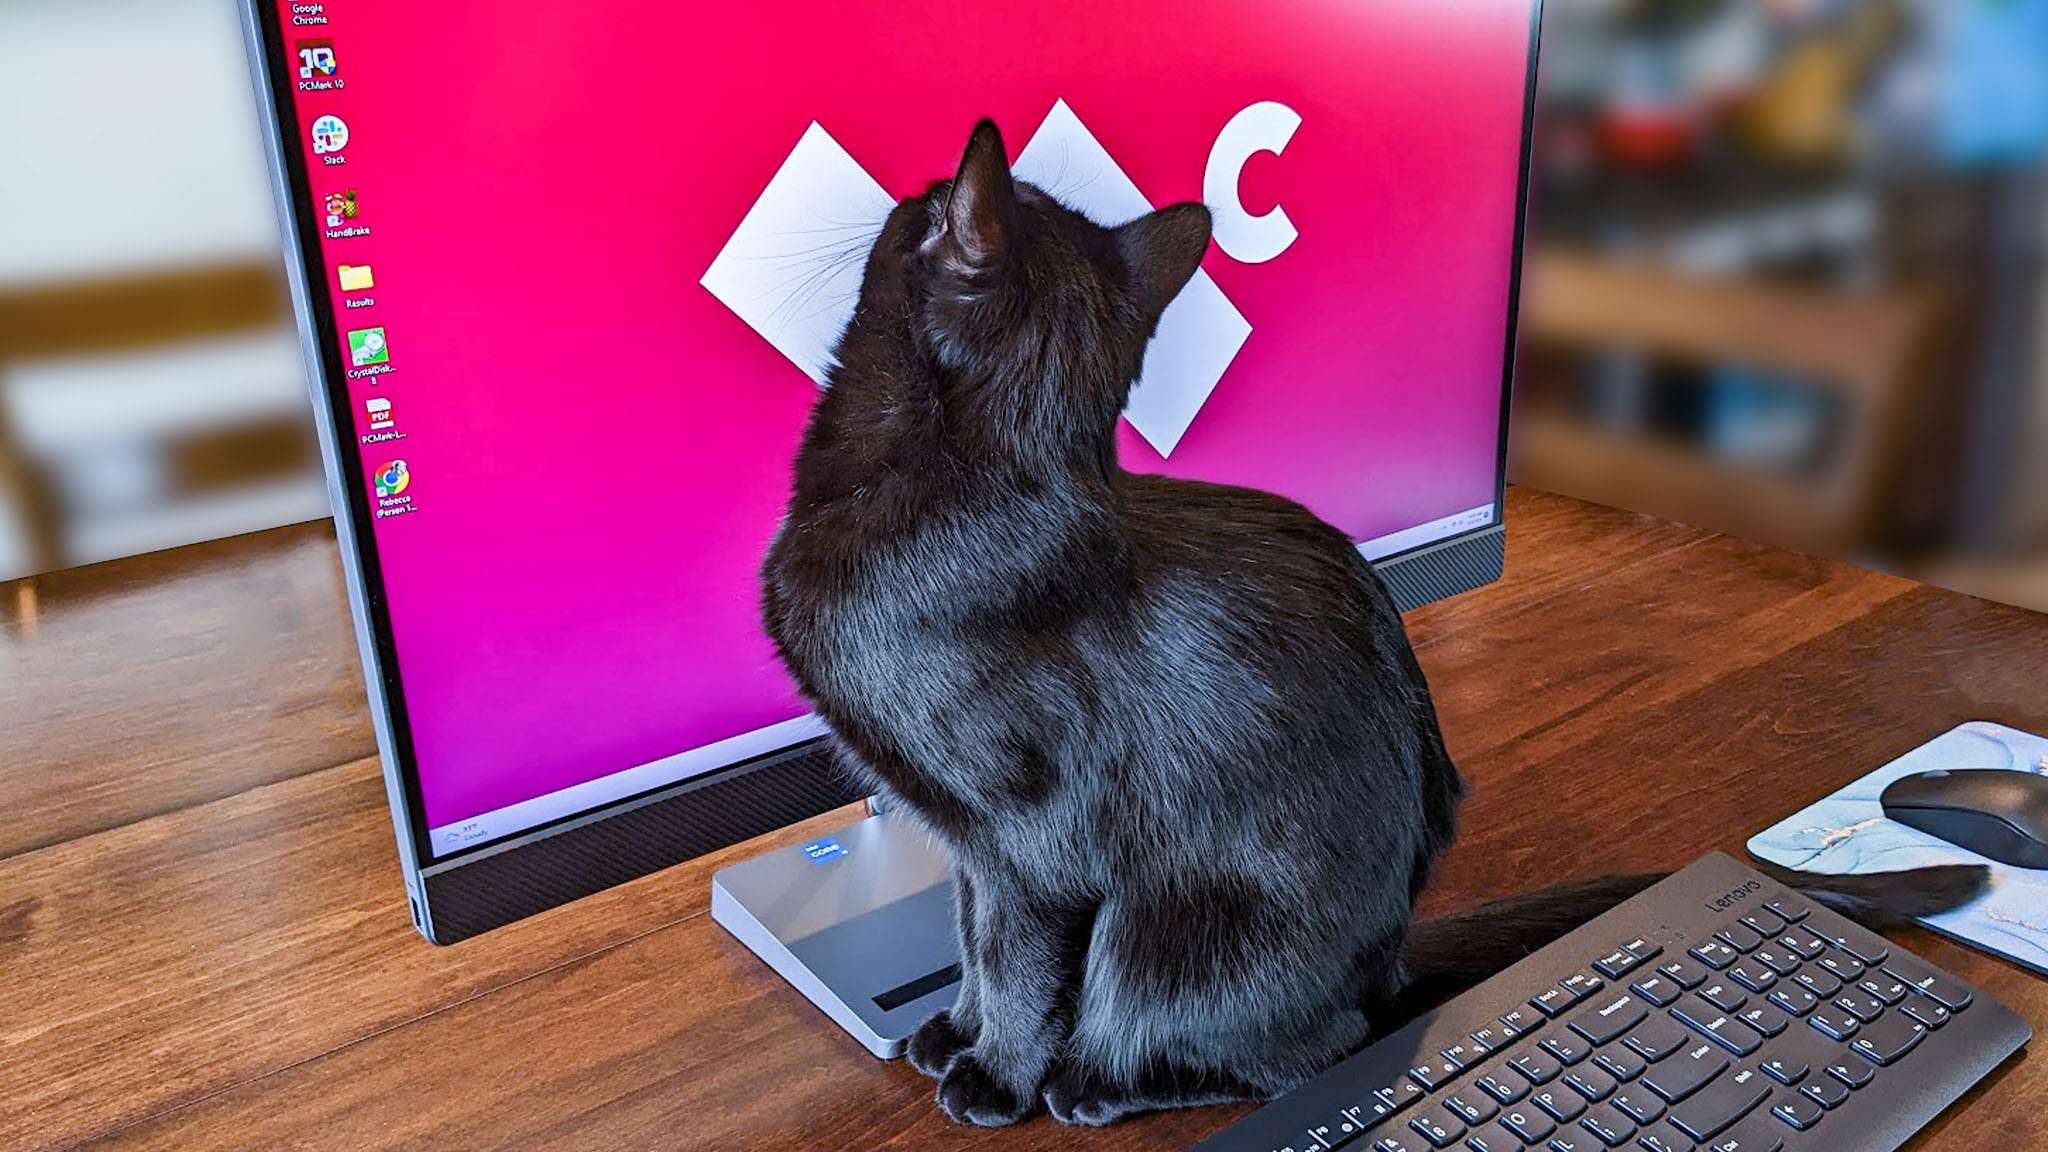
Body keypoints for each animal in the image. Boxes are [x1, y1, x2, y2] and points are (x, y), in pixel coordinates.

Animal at [761, 120, 1974, 1123]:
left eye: (926, 206)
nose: (909, 186)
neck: (980, 488)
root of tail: (1391, 962)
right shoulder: (964, 841)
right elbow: (966, 940)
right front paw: (953, 1029)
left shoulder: (1029, 843)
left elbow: (1015, 963)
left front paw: (995, 1076)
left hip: (1165, 931)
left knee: (1294, 1045)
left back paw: (1095, 1083)